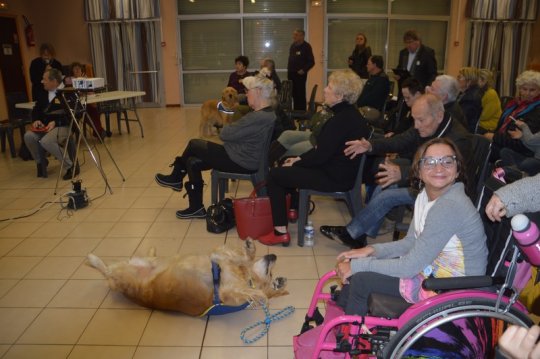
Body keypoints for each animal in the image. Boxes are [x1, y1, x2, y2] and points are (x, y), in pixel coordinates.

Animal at [87, 240, 286, 316]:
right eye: (271, 273)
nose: (274, 255)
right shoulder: (219, 257)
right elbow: (243, 258)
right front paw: (250, 249)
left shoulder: (227, 291)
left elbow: (252, 291)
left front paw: (260, 295)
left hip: (122, 276)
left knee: (107, 273)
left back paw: (92, 259)